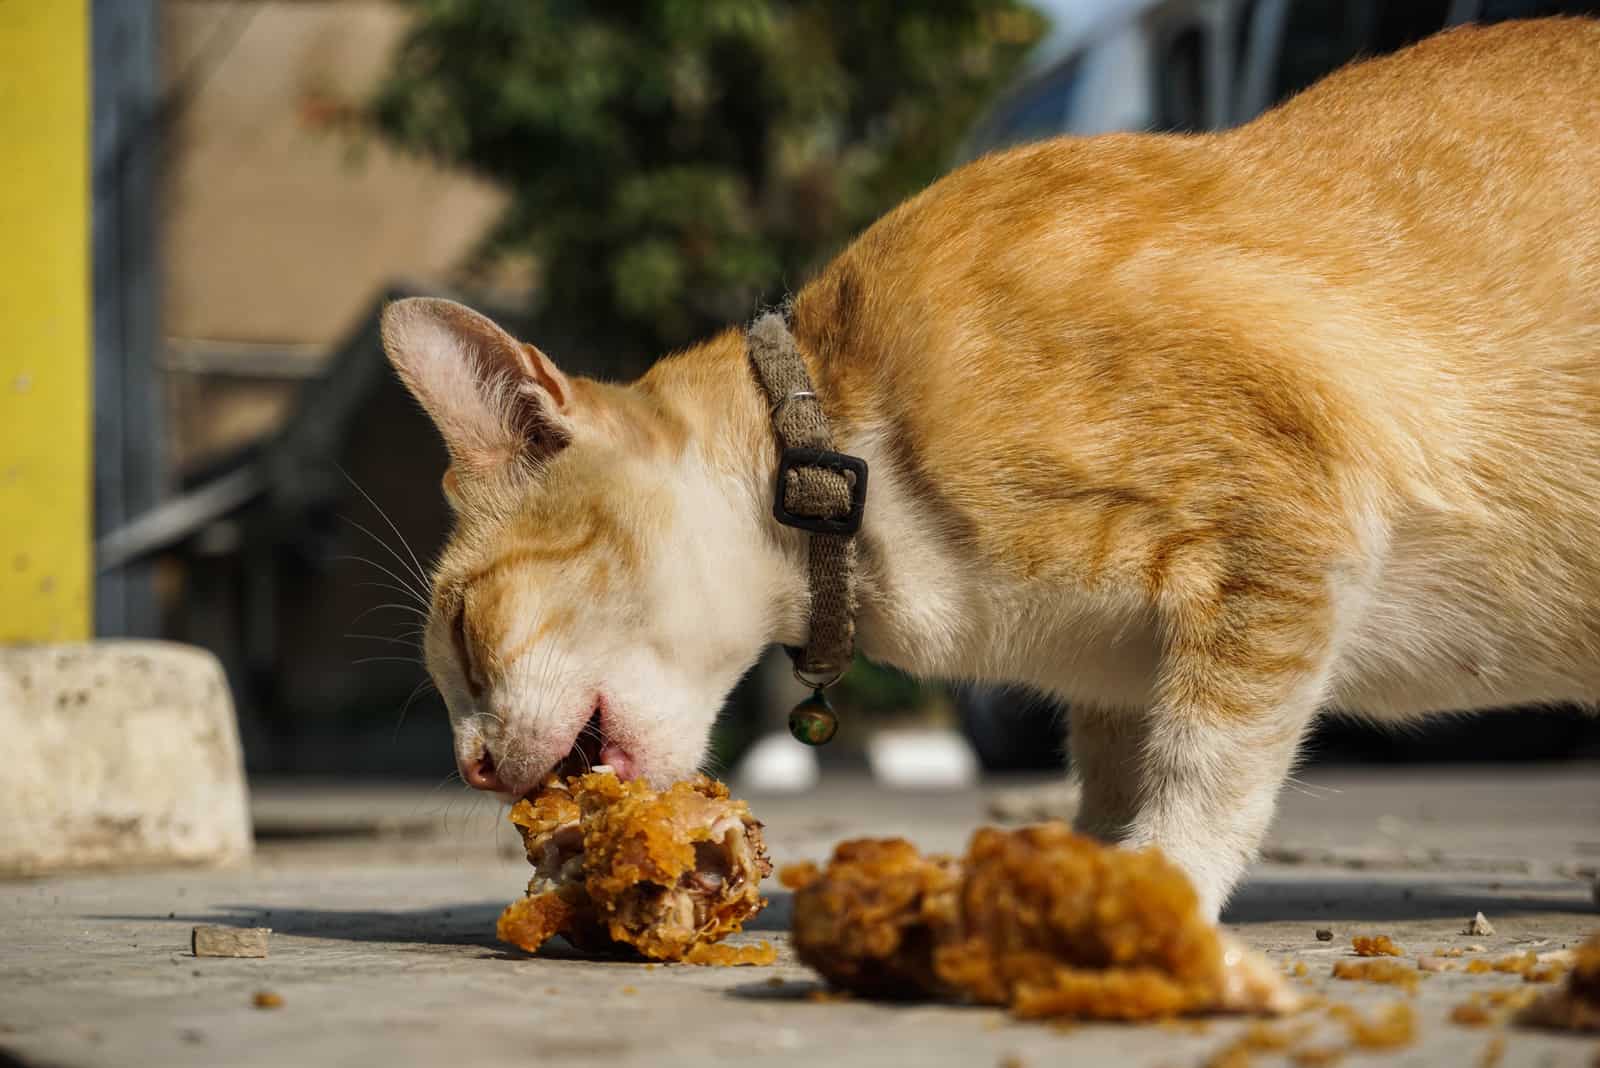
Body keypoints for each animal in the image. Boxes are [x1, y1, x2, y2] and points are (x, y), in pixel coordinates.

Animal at [384, 16, 1600, 920]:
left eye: (463, 631)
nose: (471, 766)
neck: (848, 461)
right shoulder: (1120, 678)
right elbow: (1113, 775)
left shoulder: (1288, 525)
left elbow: (1208, 764)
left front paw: (1154, 885)